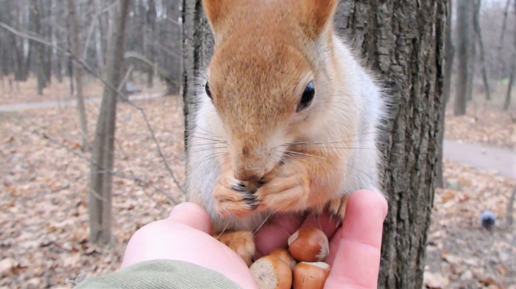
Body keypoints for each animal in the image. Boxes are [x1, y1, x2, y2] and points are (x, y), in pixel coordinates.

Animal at [184, 0, 388, 266]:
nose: (247, 172)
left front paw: (292, 182)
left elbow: (331, 170)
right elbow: (223, 151)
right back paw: (232, 238)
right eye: (208, 89)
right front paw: (226, 189)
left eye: (309, 93)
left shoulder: (344, 120)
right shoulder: (217, 128)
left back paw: (340, 200)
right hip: (203, 183)